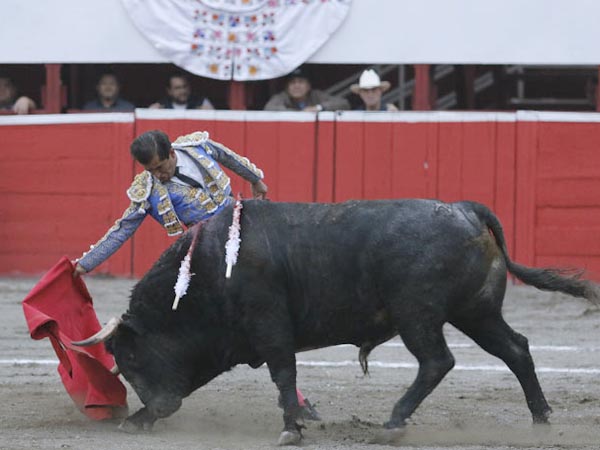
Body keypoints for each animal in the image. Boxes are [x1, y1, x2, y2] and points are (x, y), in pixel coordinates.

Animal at [74, 200, 600, 442]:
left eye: (131, 355)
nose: (157, 405)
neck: (206, 273)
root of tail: (465, 209)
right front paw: (137, 420)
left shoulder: (271, 328)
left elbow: (284, 375)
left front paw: (291, 429)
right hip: (477, 311)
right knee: (515, 348)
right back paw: (541, 417)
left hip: (418, 314)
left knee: (437, 361)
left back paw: (393, 421)